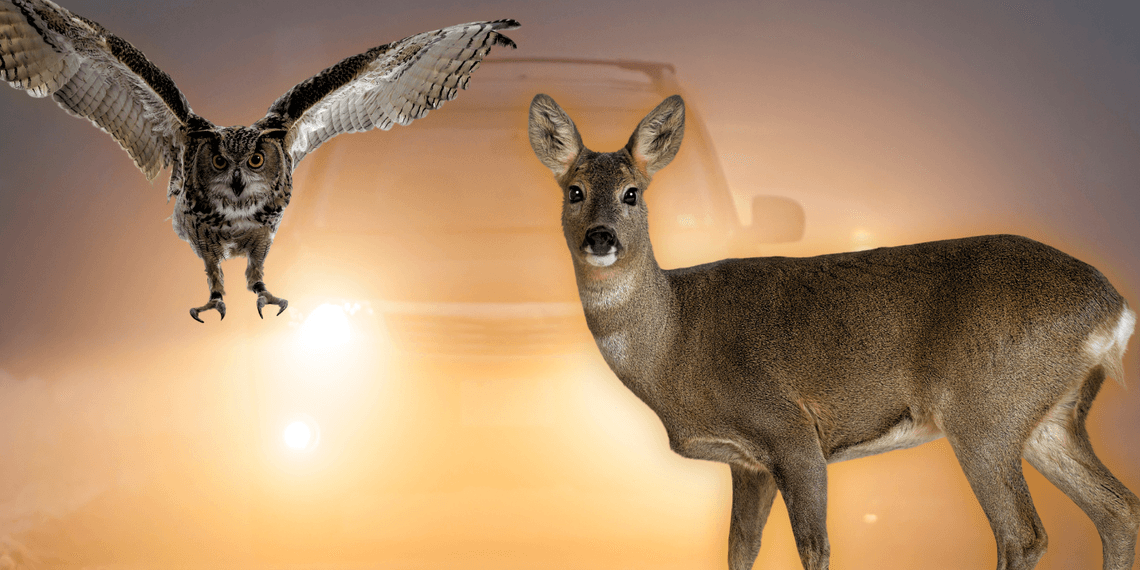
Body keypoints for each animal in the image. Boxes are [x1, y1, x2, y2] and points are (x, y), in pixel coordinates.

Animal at [527, 93, 1140, 570]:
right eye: (574, 191)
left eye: (633, 193)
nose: (601, 237)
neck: (677, 340)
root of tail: (1115, 309)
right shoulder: (748, 464)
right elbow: (738, 550)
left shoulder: (791, 429)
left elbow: (814, 547)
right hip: (1049, 417)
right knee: (1119, 510)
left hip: (985, 410)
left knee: (1024, 535)